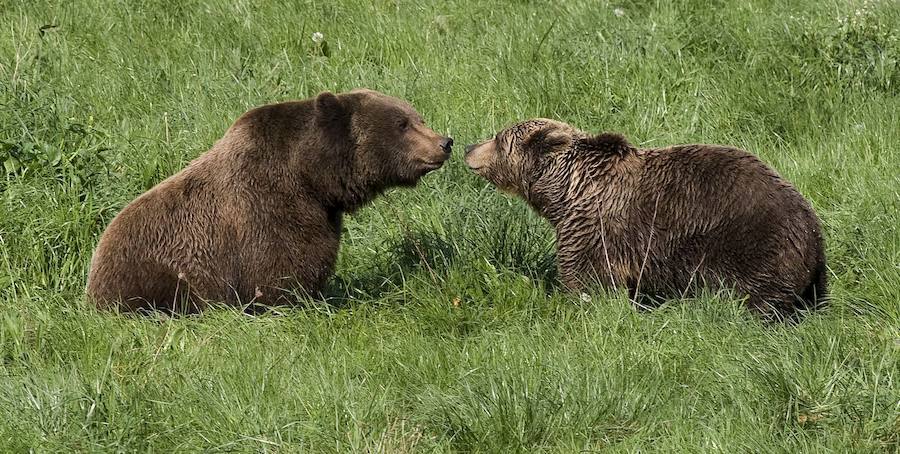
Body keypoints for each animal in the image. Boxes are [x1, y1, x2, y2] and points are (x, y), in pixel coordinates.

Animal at [88, 88, 454, 312]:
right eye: (402, 124)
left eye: (416, 117)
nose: (444, 142)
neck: (310, 177)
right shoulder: (267, 208)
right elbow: (282, 269)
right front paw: (298, 301)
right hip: (157, 275)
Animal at [468, 119, 828, 320]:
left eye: (498, 138)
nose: (469, 146)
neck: (566, 193)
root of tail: (814, 232)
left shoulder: (594, 230)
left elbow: (588, 281)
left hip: (752, 247)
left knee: (755, 299)